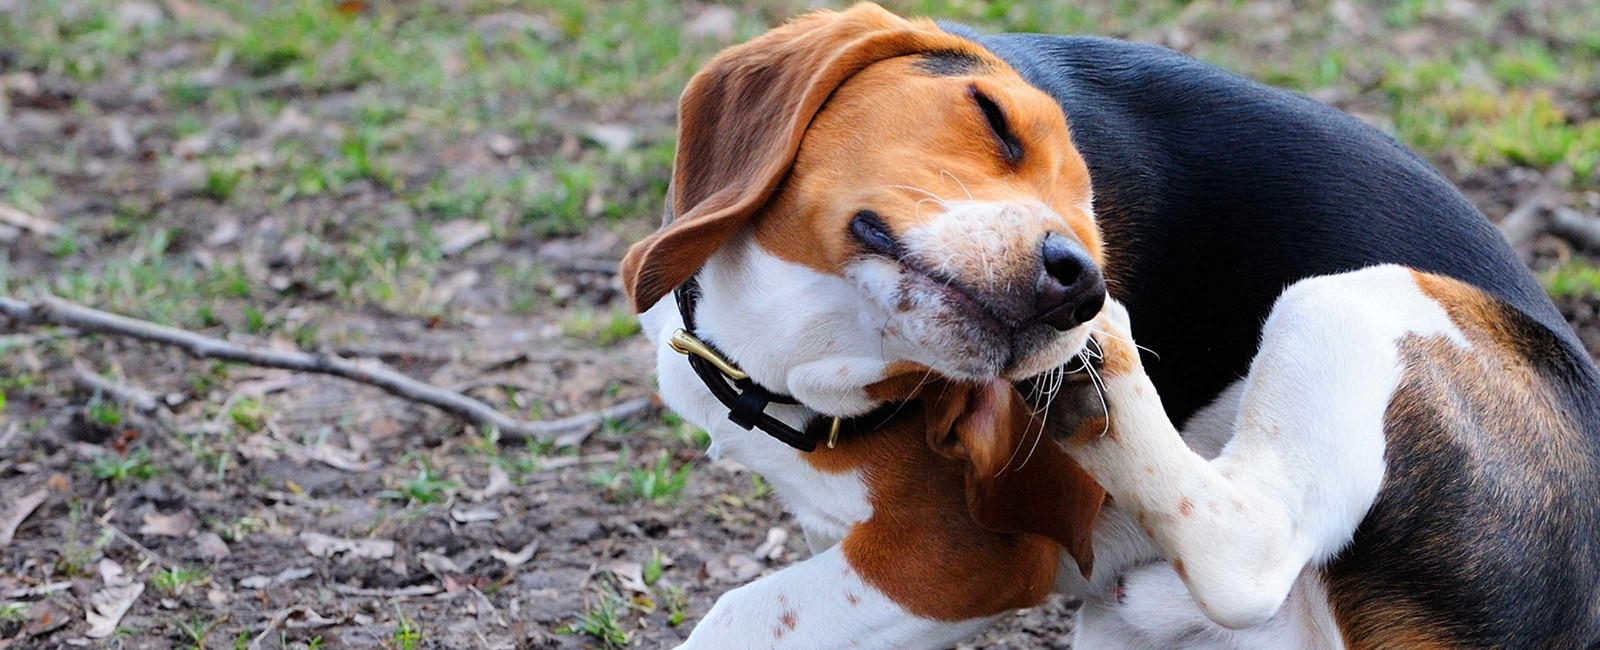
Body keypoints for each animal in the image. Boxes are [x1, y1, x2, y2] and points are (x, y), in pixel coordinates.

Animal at [620, 2, 1600, 646]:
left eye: (1097, 230)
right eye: (993, 119)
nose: (1080, 284)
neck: (784, 363)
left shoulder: (955, 560)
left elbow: (736, 616)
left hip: (1357, 296)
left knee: (1252, 545)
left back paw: (1106, 385)